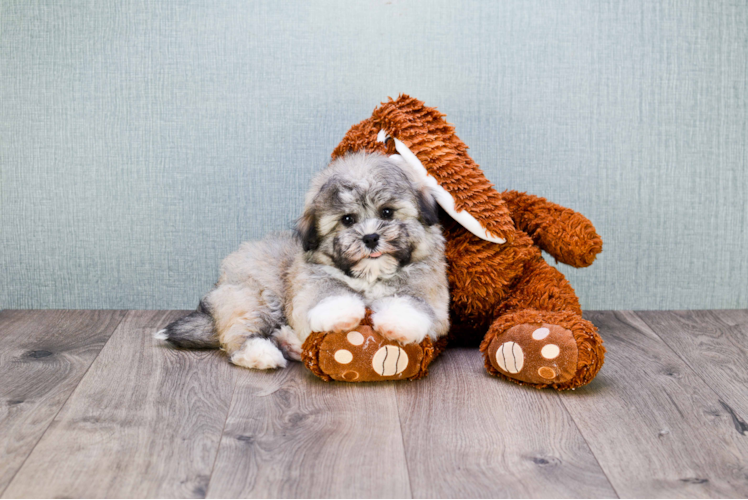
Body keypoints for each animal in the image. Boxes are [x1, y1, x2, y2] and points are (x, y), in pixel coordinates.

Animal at [155, 152, 448, 372]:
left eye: (387, 213)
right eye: (347, 220)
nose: (370, 237)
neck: (370, 277)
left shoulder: (431, 289)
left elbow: (414, 300)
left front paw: (398, 322)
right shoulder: (312, 281)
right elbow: (328, 293)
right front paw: (341, 313)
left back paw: (289, 342)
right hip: (253, 297)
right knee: (239, 332)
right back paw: (261, 353)